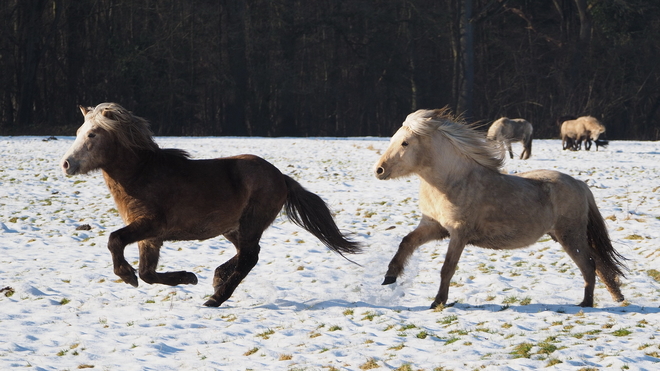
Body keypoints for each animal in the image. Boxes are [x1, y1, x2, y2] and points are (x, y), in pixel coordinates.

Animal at [60, 102, 360, 308]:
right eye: (78, 132)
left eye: (93, 135)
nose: (66, 164)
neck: (142, 174)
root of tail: (280, 177)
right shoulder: (151, 237)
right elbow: (147, 273)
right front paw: (187, 277)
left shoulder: (150, 225)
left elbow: (115, 241)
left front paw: (125, 275)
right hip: (232, 228)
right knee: (246, 255)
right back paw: (218, 278)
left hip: (250, 224)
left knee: (249, 257)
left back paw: (215, 298)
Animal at [374, 109, 628, 310]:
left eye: (405, 143)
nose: (379, 170)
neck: (451, 182)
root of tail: (580, 185)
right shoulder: (434, 227)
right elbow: (406, 242)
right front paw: (390, 276)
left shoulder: (458, 234)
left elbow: (447, 268)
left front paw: (438, 301)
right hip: (567, 236)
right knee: (599, 264)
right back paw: (612, 296)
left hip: (570, 236)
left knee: (589, 265)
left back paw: (586, 303)